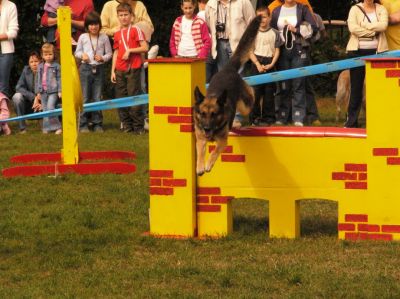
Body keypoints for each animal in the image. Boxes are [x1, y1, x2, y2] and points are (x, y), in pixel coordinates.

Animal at [193, 15, 260, 176]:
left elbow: (215, 151)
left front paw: (208, 164)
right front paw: (199, 166)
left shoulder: (223, 141)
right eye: (202, 114)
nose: (206, 128)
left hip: (244, 105)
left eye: (214, 114)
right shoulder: (200, 139)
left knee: (251, 92)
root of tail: (227, 68)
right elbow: (200, 151)